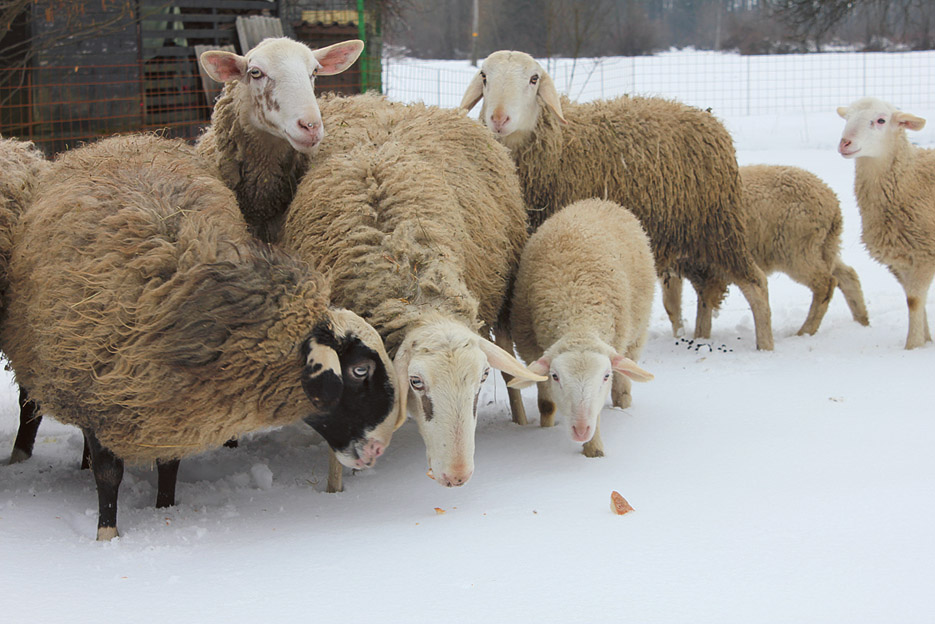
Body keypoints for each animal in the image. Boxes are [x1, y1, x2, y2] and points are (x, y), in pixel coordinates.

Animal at [0, 134, 401, 540]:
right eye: (360, 370)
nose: (379, 450)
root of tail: (119, 139)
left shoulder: (175, 408)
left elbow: (168, 466)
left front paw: (166, 510)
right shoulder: (96, 394)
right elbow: (109, 475)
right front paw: (106, 536)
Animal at [460, 51, 773, 359]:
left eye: (534, 78)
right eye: (484, 76)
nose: (499, 118)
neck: (557, 147)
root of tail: (712, 121)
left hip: (720, 229)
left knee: (756, 284)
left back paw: (765, 348)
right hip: (692, 242)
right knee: (705, 292)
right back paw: (700, 336)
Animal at [507, 199, 655, 458]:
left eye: (605, 375)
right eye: (555, 376)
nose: (580, 429)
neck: (577, 316)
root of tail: (597, 200)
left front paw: (593, 452)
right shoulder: (532, 351)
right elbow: (546, 404)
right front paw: (546, 428)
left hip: (636, 333)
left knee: (625, 377)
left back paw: (623, 405)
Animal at [837, 97, 935, 350]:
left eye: (881, 120)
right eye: (847, 117)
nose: (845, 143)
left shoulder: (925, 254)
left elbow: (914, 300)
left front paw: (912, 346)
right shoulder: (900, 260)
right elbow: (915, 300)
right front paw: (925, 341)